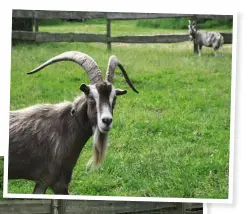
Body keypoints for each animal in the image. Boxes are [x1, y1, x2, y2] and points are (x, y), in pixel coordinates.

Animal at [8, 51, 138, 195]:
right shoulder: (59, 183)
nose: (107, 121)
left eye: (114, 98)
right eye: (91, 97)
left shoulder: (43, 181)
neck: (64, 128)